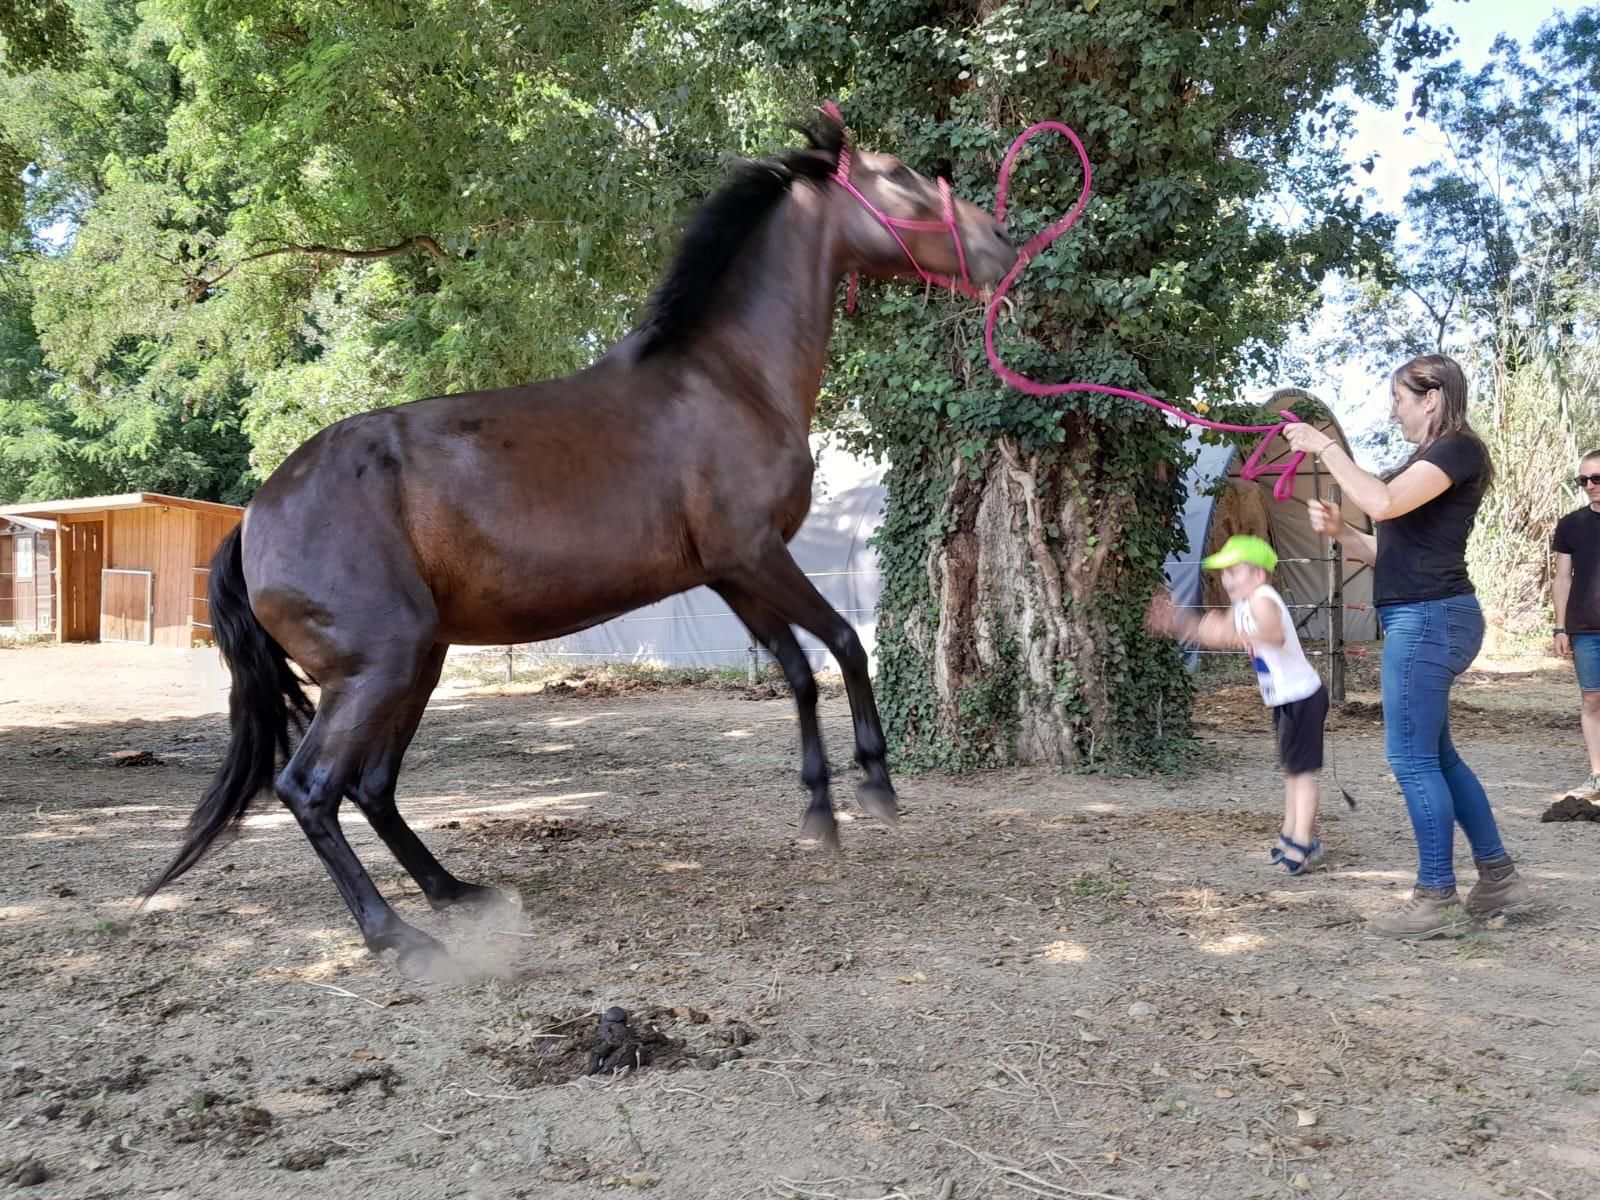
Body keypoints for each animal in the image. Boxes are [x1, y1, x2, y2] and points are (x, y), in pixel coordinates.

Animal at [146, 111, 1018, 975]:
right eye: (898, 175)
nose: (1002, 245)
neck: (728, 379)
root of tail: (255, 517)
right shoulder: (757, 555)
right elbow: (843, 643)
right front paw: (874, 785)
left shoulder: (732, 571)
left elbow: (798, 672)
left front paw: (818, 809)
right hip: (376, 670)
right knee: (312, 788)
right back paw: (400, 936)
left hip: (416, 665)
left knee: (375, 786)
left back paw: (456, 892)